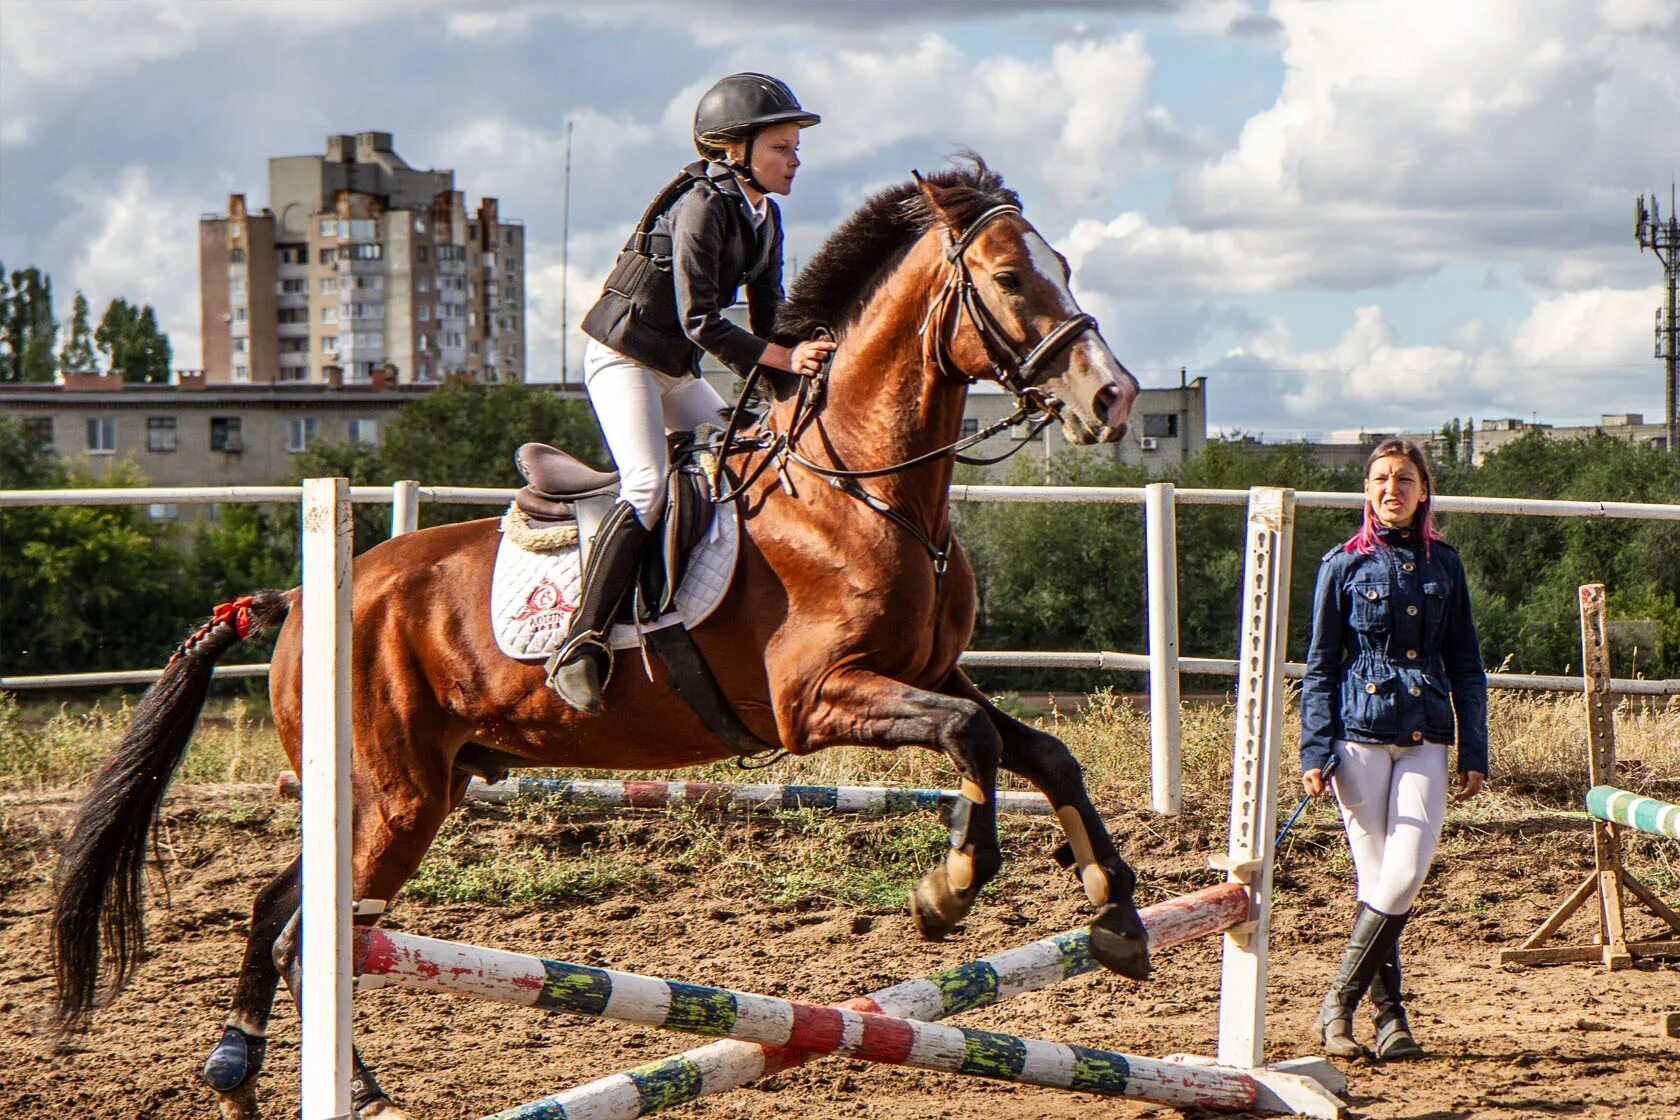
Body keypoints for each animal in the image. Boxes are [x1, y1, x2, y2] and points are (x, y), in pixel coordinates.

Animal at [55, 159, 1155, 1120]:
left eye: (1063, 266)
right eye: (1010, 277)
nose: (1113, 398)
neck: (860, 487)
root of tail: (299, 594)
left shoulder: (928, 671)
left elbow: (1038, 746)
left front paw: (1116, 917)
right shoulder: (817, 699)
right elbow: (972, 742)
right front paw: (945, 893)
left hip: (401, 793)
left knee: (283, 911)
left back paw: (242, 1069)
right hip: (393, 798)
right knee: (309, 935)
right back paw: (336, 1087)